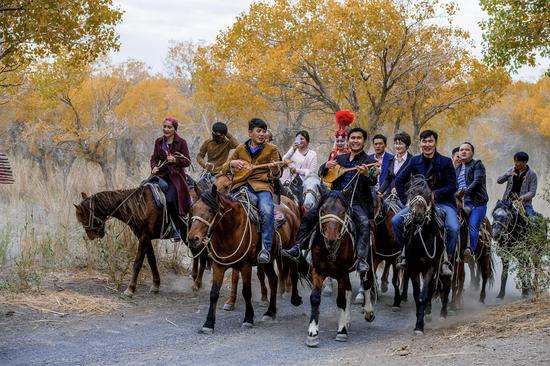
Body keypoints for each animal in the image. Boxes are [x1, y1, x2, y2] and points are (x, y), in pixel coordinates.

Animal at [73, 180, 209, 298]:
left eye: (85, 218)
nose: (91, 236)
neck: (137, 206)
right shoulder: (145, 237)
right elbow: (151, 260)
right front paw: (156, 285)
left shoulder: (144, 237)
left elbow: (138, 262)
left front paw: (130, 289)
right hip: (189, 237)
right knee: (196, 253)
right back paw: (195, 278)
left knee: (203, 254)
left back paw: (198, 283)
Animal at [189, 184, 302, 334]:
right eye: (193, 208)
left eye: (210, 210)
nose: (192, 238)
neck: (230, 229)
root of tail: (291, 211)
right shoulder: (218, 265)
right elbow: (214, 293)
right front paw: (208, 323)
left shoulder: (246, 265)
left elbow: (247, 292)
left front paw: (248, 319)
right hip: (267, 262)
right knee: (273, 280)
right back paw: (270, 312)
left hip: (290, 252)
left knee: (293, 274)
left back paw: (295, 299)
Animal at [306, 190, 376, 348]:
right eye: (322, 210)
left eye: (343, 212)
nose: (331, 239)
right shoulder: (317, 271)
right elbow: (315, 298)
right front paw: (312, 333)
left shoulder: (341, 273)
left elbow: (341, 300)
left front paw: (341, 331)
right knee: (349, 291)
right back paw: (347, 320)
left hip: (368, 262)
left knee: (367, 284)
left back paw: (368, 312)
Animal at [404, 176, 450, 336]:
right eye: (411, 192)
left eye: (429, 194)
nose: (417, 216)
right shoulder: (413, 267)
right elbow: (417, 295)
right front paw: (419, 321)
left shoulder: (430, 266)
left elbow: (423, 295)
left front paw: (419, 326)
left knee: (444, 286)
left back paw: (441, 314)